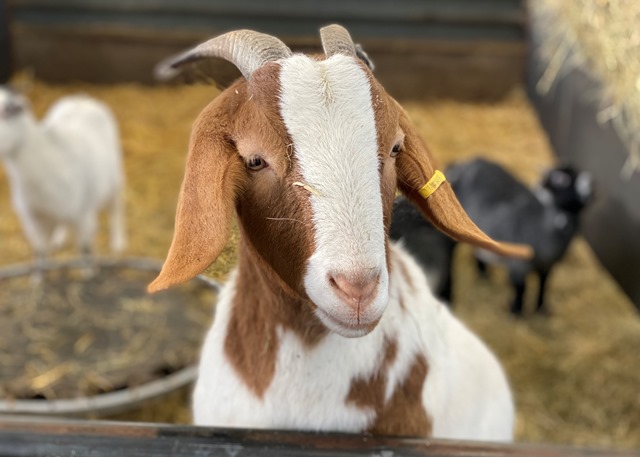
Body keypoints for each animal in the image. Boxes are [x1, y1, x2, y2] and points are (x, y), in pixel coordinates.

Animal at [0, 87, 126, 265]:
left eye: (5, 113)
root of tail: (81, 99)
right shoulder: (34, 220)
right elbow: (40, 254)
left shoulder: (83, 216)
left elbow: (85, 251)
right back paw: (60, 238)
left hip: (114, 177)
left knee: (115, 206)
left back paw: (118, 242)